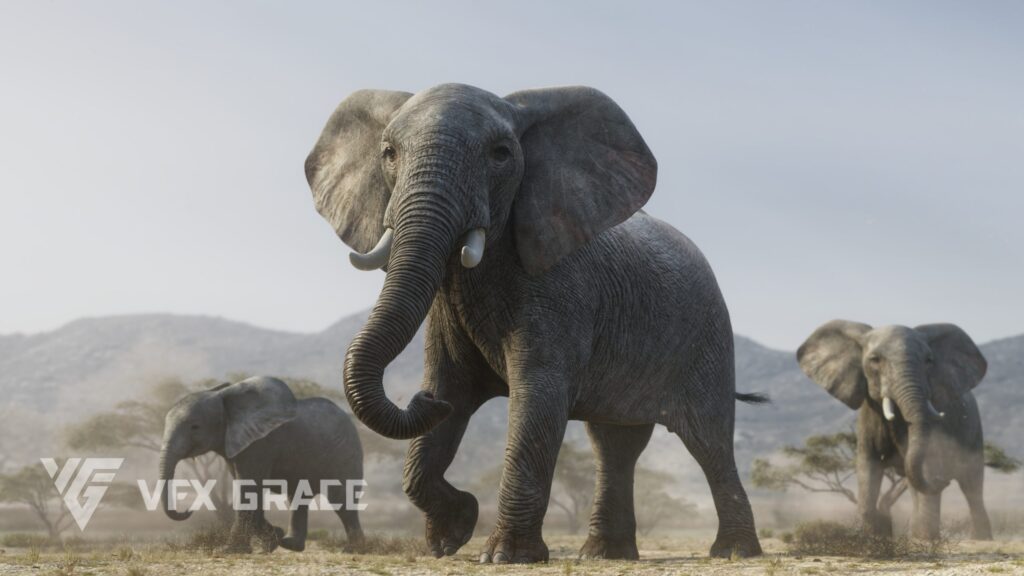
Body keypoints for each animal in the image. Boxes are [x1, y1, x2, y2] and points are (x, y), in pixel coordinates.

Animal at [159, 376, 365, 552]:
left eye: (195, 427)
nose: (189, 509)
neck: (225, 398)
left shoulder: (260, 443)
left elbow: (249, 487)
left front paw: (229, 551)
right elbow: (251, 489)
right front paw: (272, 541)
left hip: (345, 453)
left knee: (341, 500)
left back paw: (353, 550)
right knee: (298, 497)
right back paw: (290, 544)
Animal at [304, 83, 764, 562]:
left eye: (501, 154)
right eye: (389, 154)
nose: (419, 399)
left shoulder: (561, 290)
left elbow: (537, 396)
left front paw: (503, 555)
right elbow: (452, 388)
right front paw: (452, 534)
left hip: (707, 334)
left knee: (709, 440)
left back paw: (734, 552)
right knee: (615, 444)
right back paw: (604, 554)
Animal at [797, 320, 992, 540]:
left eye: (929, 360)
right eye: (875, 360)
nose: (944, 481)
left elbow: (927, 467)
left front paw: (925, 540)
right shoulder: (868, 416)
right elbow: (868, 469)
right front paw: (872, 537)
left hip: (974, 432)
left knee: (971, 486)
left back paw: (980, 538)